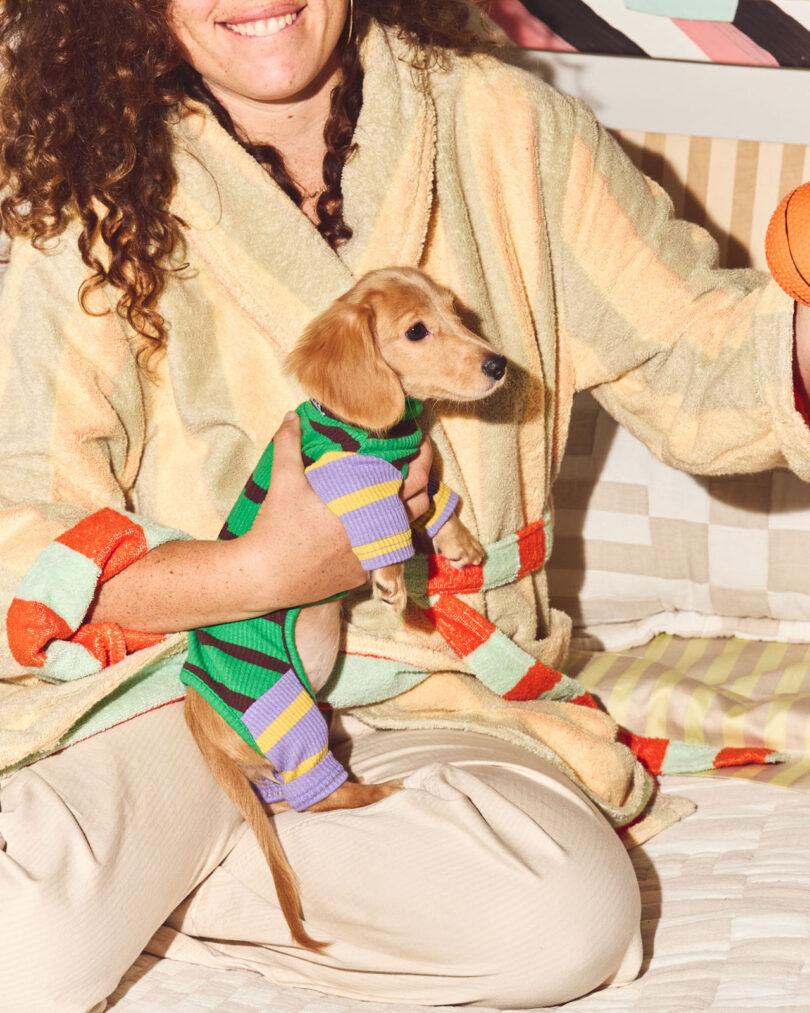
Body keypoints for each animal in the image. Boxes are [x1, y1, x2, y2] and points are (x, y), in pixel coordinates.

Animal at [183, 267, 506, 948]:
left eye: (459, 314)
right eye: (417, 331)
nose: (498, 365)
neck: (383, 433)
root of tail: (197, 715)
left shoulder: (417, 469)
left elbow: (438, 496)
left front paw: (457, 540)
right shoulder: (349, 482)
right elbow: (384, 527)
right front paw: (392, 579)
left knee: (285, 800)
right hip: (283, 712)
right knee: (320, 797)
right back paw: (382, 789)